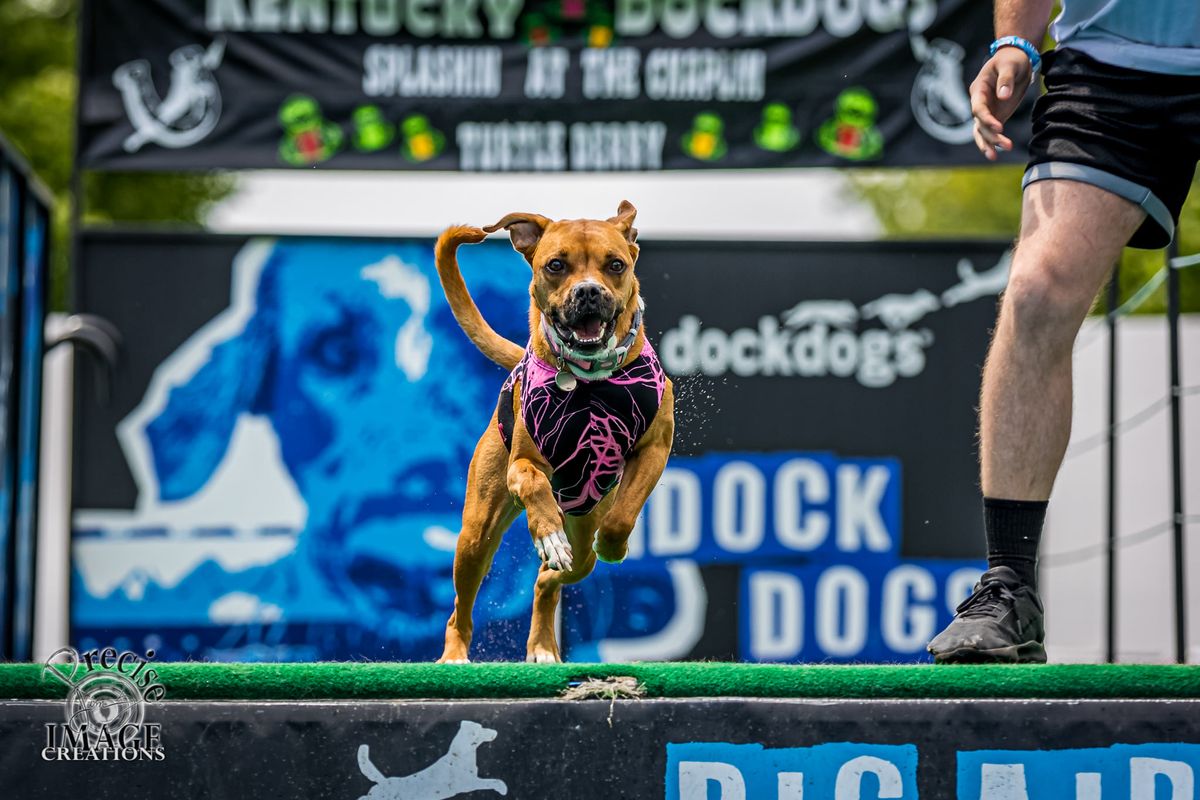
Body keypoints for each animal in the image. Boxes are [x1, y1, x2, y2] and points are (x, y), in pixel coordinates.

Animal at [432, 203, 676, 666]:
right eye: (556, 265)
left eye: (616, 265)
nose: (588, 292)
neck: (589, 380)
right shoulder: (522, 463)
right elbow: (532, 481)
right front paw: (546, 531)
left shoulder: (655, 449)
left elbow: (623, 516)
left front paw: (615, 547)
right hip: (475, 537)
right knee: (461, 606)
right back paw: (454, 655)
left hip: (582, 536)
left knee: (549, 579)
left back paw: (544, 644)